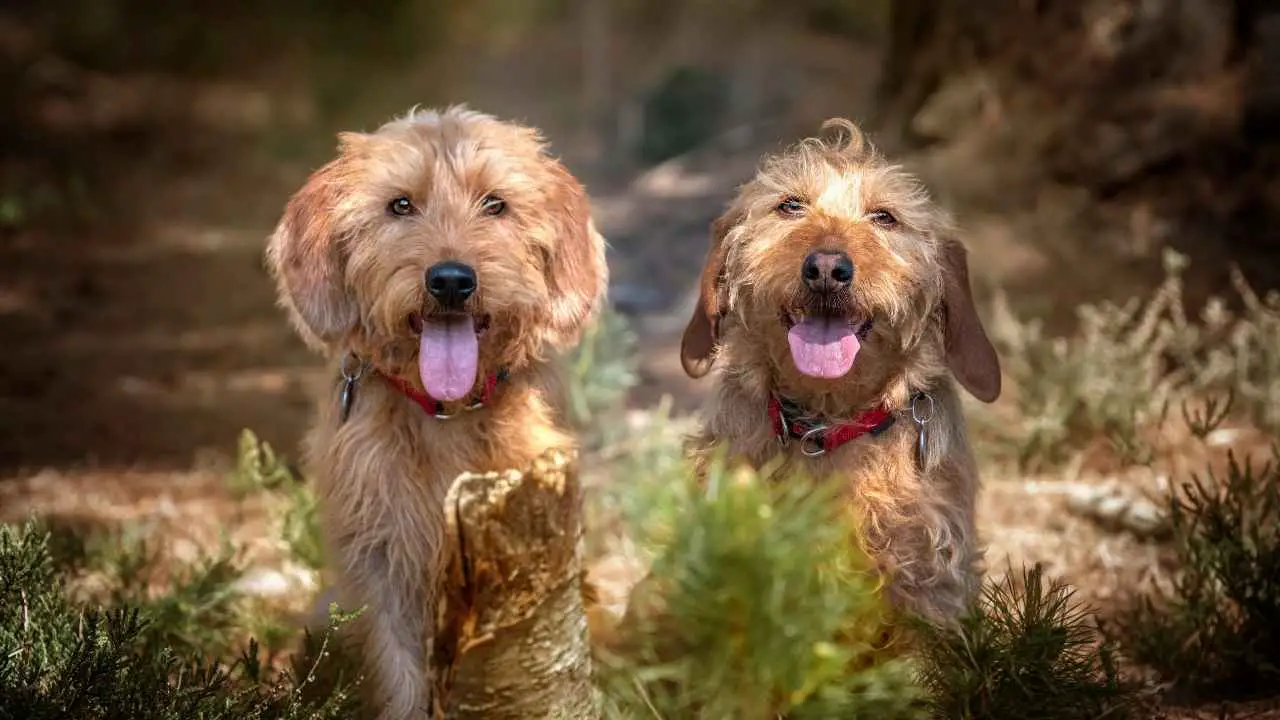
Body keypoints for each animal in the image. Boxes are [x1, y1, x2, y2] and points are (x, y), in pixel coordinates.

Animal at [262, 103, 606, 712]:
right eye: (400, 204)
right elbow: (400, 676)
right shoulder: (379, 560)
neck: (446, 413)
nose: (450, 280)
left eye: (496, 203)